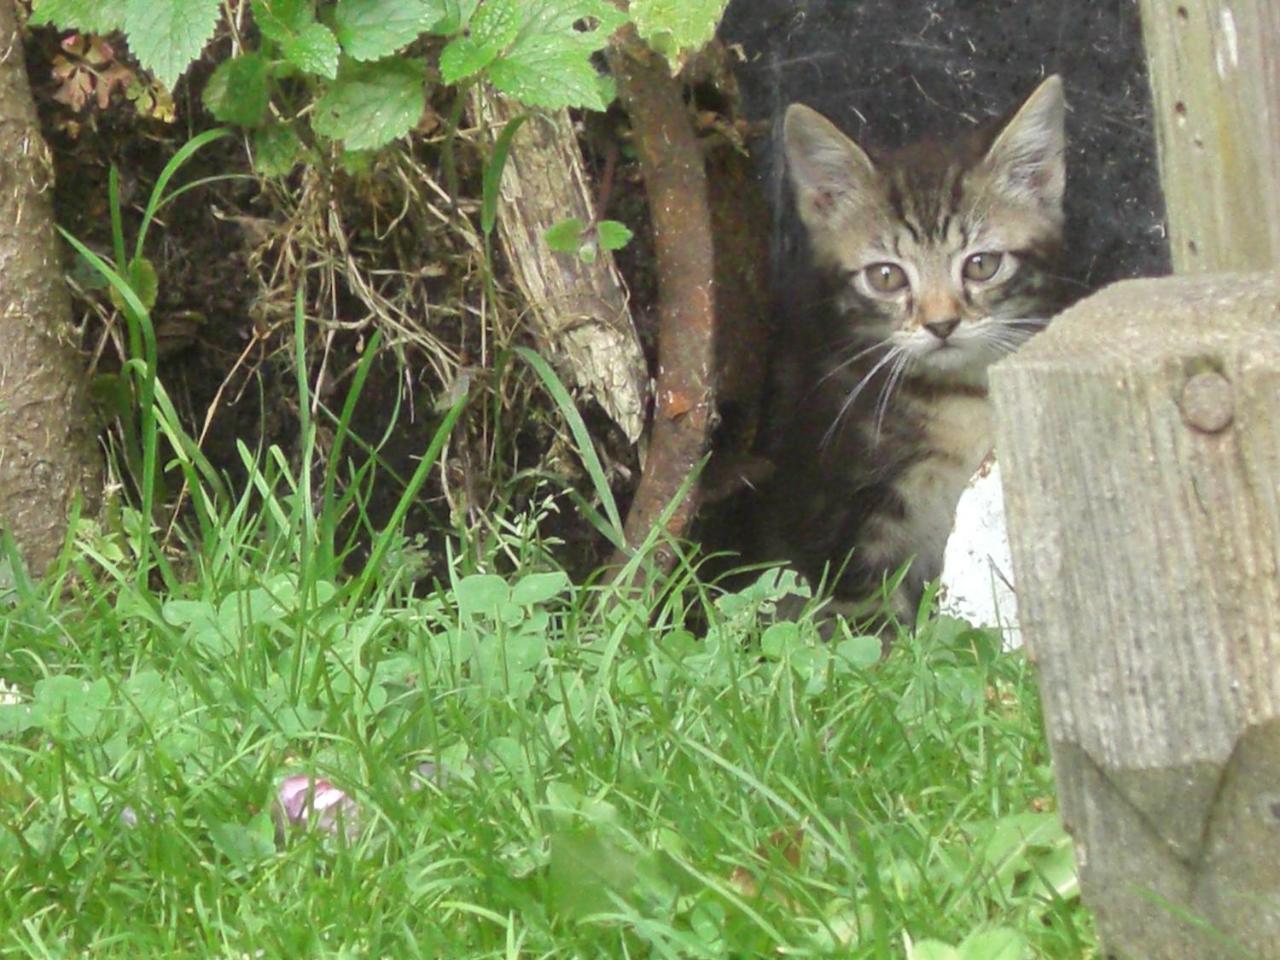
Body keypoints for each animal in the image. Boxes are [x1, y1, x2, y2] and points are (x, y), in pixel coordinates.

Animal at [747, 75, 1070, 624]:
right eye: (886, 276)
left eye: (981, 265)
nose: (941, 324)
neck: (955, 395)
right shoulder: (837, 509)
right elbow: (866, 616)